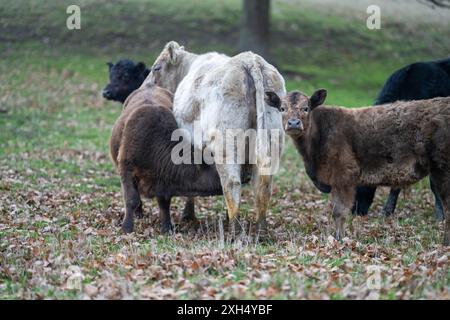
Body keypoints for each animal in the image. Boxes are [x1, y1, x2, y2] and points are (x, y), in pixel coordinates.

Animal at [110, 83, 223, 232]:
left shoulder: (163, 180)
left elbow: (164, 203)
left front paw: (167, 227)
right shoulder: (126, 168)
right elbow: (132, 198)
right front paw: (127, 227)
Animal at [144, 40, 284, 235]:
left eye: (156, 68)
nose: (144, 87)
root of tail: (249, 60)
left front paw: (188, 215)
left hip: (226, 143)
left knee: (231, 183)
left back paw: (234, 231)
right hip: (272, 139)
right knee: (263, 185)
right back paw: (260, 231)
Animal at [282, 90, 450, 245]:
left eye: (306, 108)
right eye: (282, 108)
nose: (293, 123)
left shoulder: (344, 176)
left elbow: (339, 211)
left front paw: (338, 239)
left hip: (442, 169)